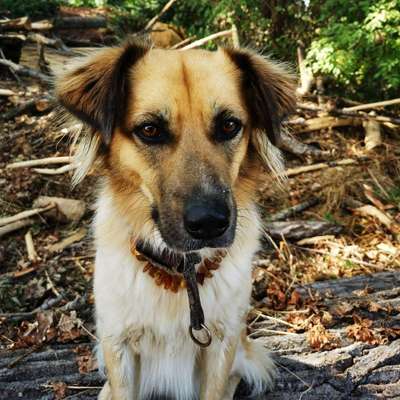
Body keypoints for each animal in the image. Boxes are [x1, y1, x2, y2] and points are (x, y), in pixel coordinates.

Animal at [55, 41, 294, 400]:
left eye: (229, 125)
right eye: (150, 130)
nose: (209, 223)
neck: (182, 273)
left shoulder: (221, 343)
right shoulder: (118, 344)